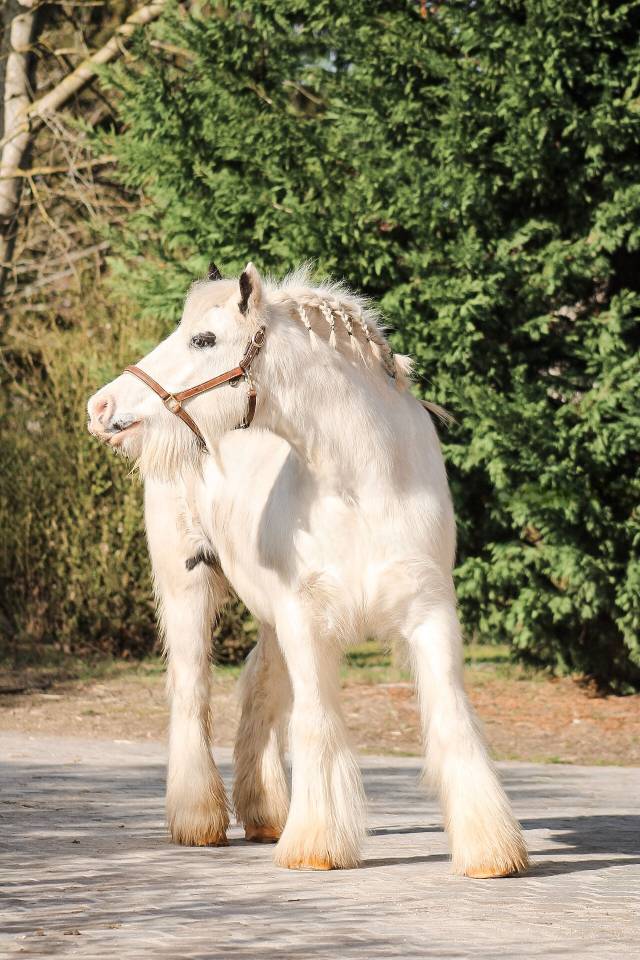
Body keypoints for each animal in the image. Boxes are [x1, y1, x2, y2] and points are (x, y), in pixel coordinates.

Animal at [87, 261, 529, 877]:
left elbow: (451, 719)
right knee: (193, 693)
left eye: (204, 339)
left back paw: (265, 812)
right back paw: (200, 820)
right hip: (188, 586)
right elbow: (317, 723)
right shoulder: (304, 617)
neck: (366, 485)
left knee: (259, 688)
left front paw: (489, 849)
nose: (101, 408)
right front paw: (318, 844)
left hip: (268, 615)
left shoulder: (430, 613)